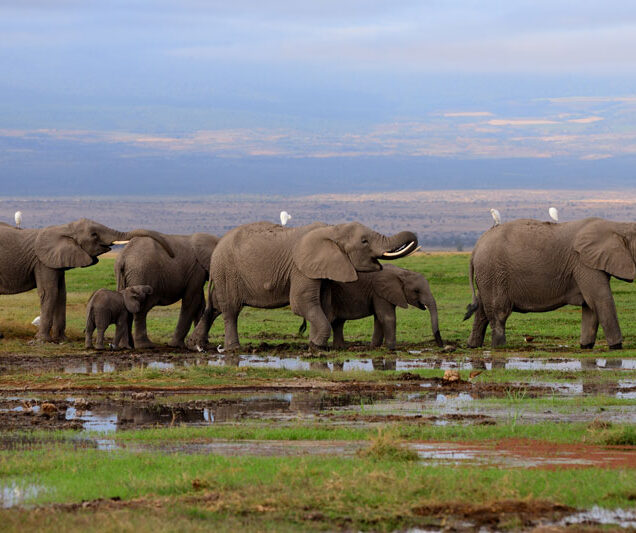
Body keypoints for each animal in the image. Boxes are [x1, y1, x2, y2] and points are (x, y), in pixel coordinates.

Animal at [0, 219, 174, 340]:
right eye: (94, 235)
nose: (172, 255)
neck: (65, 228)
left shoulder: (57, 261)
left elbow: (61, 294)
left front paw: (61, 339)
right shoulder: (42, 262)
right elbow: (49, 293)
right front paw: (43, 340)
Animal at [189, 221, 418, 352]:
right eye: (364, 241)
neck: (331, 229)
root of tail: (218, 245)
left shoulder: (322, 269)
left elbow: (323, 305)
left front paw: (314, 344)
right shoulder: (300, 267)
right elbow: (302, 304)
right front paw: (316, 346)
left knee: (215, 307)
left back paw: (197, 345)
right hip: (227, 271)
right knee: (230, 310)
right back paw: (233, 349)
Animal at [464, 216, 632, 350]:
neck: (617, 225)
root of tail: (476, 248)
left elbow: (590, 306)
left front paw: (585, 346)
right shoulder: (584, 264)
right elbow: (601, 300)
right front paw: (617, 347)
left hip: (488, 276)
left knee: (482, 310)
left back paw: (473, 346)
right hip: (494, 272)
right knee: (499, 312)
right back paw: (499, 347)